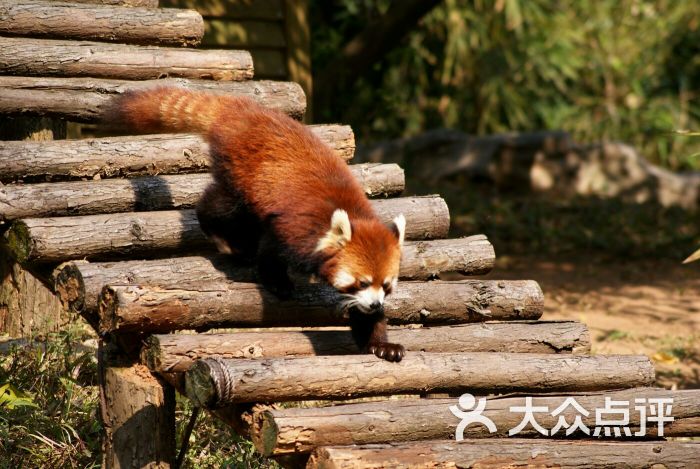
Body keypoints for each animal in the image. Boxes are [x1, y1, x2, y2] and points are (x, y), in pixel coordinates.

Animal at [106, 89, 408, 364]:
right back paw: (227, 240)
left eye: (386, 286)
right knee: (221, 206)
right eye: (362, 282)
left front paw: (381, 344)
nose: (376, 303)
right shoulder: (292, 226)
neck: (349, 216)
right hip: (241, 176)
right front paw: (278, 283)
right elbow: (271, 252)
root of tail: (243, 111)